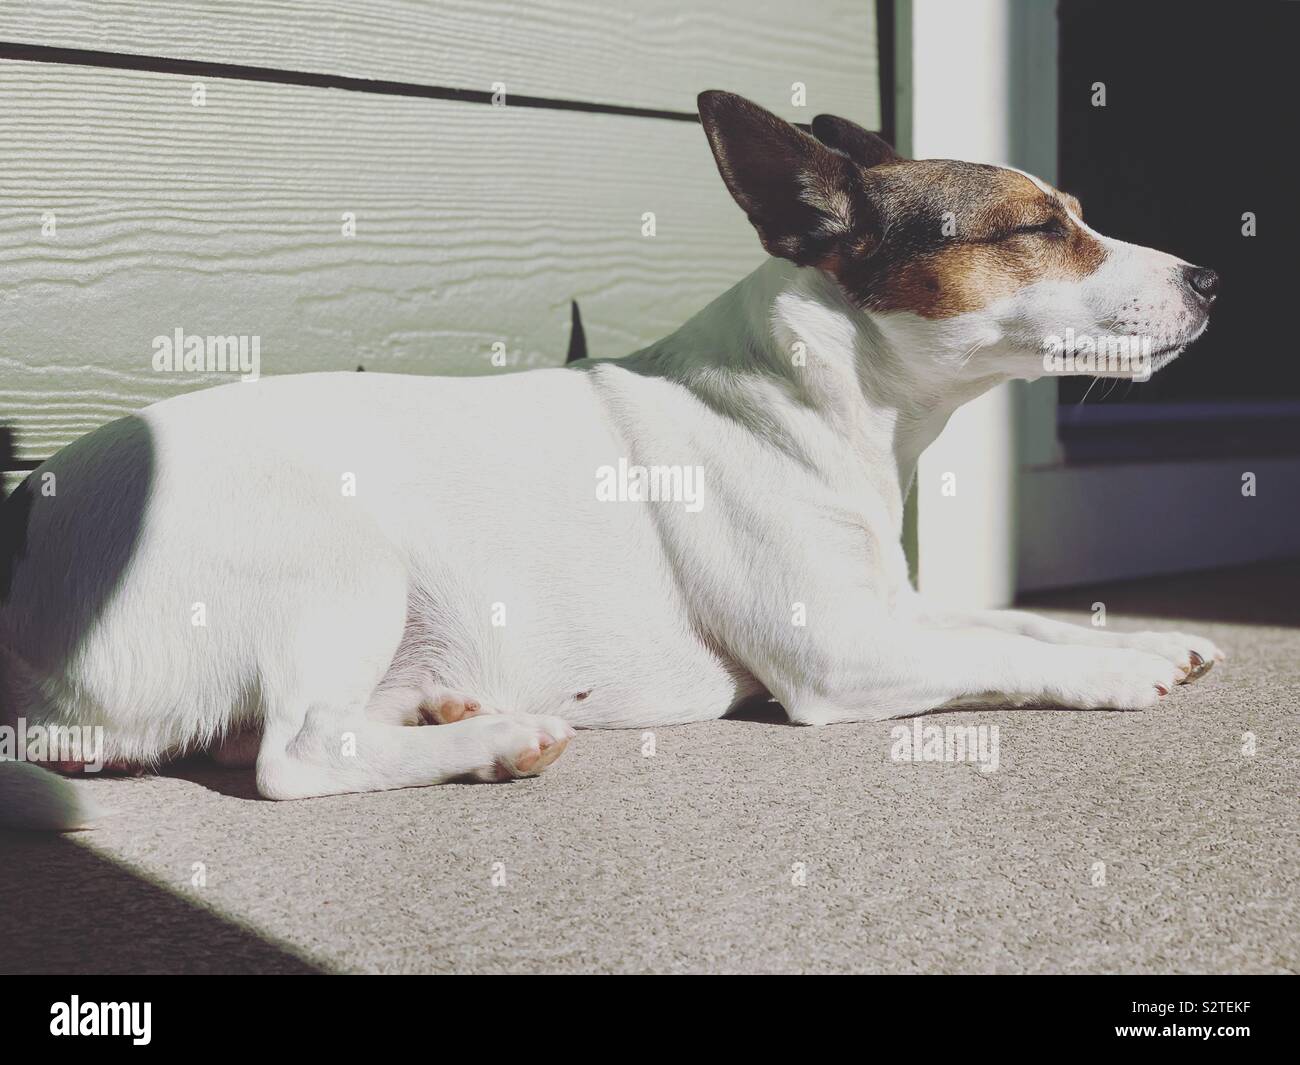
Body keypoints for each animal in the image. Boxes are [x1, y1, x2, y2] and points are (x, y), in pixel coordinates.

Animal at [0, 87, 1216, 827]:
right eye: (1036, 230)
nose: (1209, 278)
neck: (828, 398)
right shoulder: (847, 653)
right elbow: (1007, 650)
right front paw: (1116, 671)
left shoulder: (895, 608)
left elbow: (1018, 621)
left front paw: (1148, 635)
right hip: (340, 559)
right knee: (295, 754)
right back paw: (498, 740)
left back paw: (448, 714)